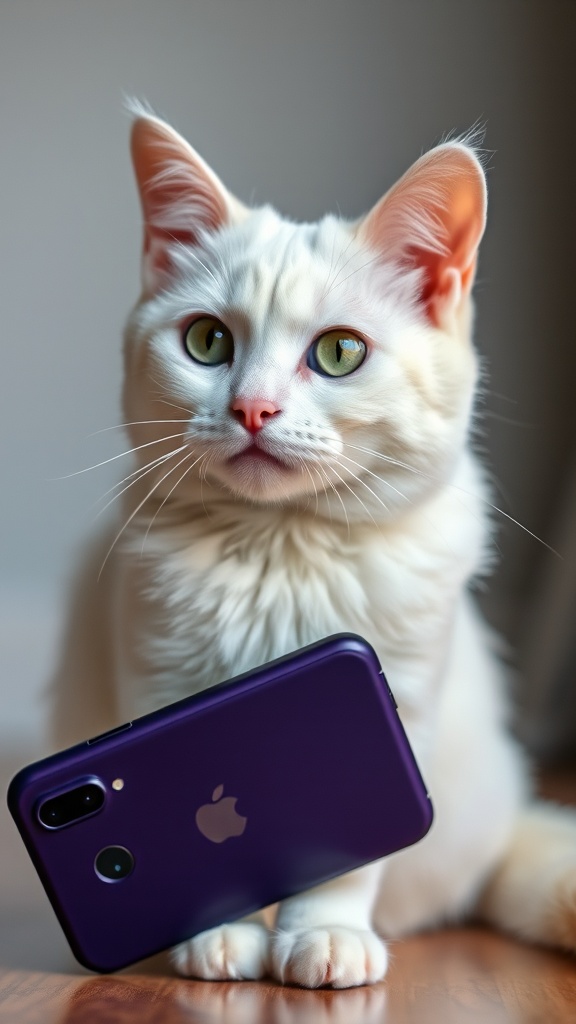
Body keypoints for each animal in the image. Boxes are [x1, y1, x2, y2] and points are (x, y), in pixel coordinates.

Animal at [48, 110, 573, 983]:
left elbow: (346, 851)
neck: (282, 549)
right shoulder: (159, 683)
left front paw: (323, 932)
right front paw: (218, 929)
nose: (253, 409)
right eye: (206, 341)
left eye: (338, 353)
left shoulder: (394, 705)